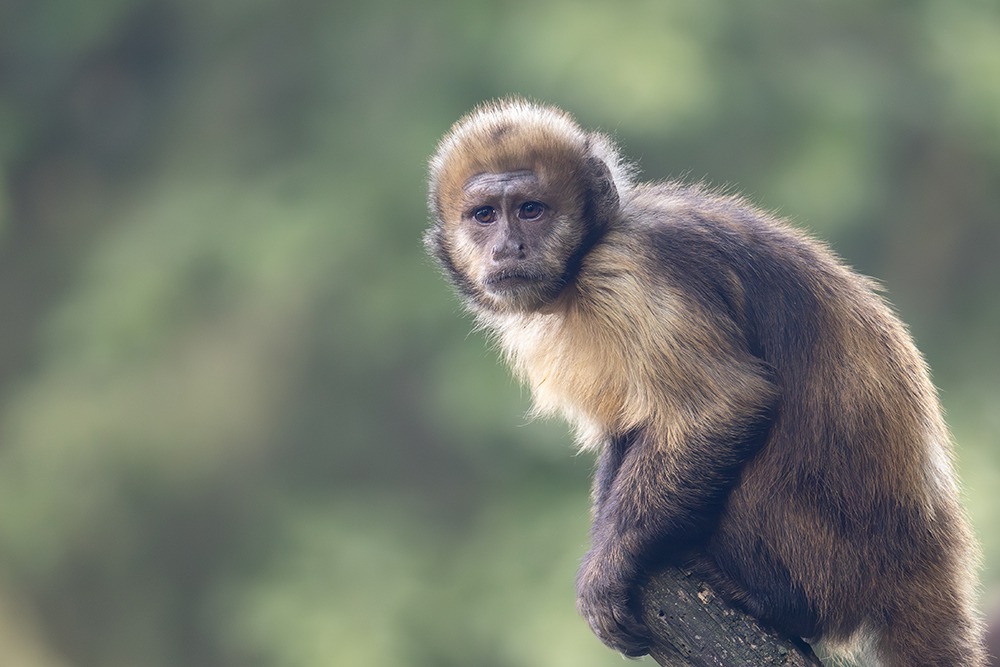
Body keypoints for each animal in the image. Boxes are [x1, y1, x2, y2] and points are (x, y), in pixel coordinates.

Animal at [426, 99, 988, 667]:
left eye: (530, 210)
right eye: (484, 216)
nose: (508, 247)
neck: (587, 255)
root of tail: (929, 555)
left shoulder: (630, 270)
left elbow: (723, 406)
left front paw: (609, 565)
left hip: (844, 563)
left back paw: (782, 603)